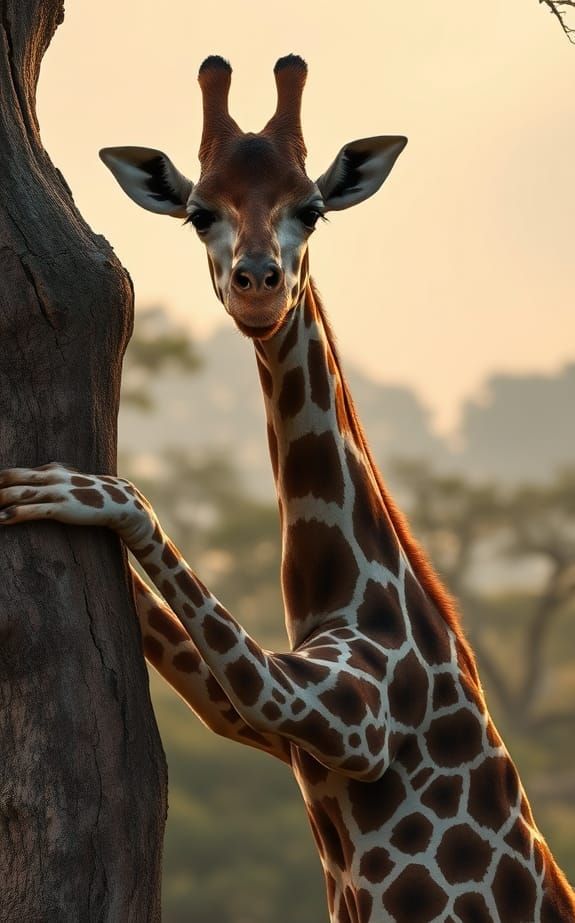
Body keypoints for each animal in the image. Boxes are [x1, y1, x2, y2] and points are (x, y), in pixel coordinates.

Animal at [0, 55, 573, 923]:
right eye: (199, 213)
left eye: (312, 208)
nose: (258, 286)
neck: (339, 597)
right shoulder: (267, 722)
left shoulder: (344, 716)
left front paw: (80, 489)